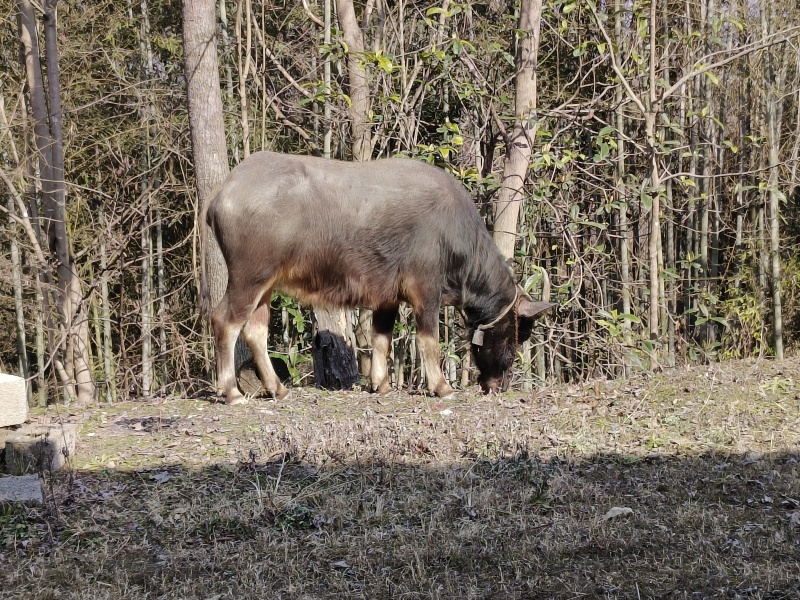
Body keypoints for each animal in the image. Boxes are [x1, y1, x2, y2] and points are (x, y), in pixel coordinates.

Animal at [200, 151, 552, 404]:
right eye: (516, 336)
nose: (500, 385)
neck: (454, 233)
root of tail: (223, 192)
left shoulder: (387, 298)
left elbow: (380, 339)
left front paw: (380, 384)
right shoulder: (426, 291)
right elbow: (428, 341)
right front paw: (441, 387)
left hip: (267, 285)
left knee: (255, 331)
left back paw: (278, 389)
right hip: (248, 278)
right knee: (225, 320)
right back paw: (231, 392)